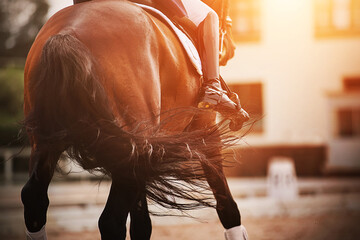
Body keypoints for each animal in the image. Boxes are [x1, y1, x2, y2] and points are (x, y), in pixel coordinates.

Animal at [21, 0, 249, 239]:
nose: (232, 49)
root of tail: (67, 34)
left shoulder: (144, 149)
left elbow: (141, 222)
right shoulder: (206, 128)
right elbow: (224, 199)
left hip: (51, 142)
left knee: (34, 200)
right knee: (111, 221)